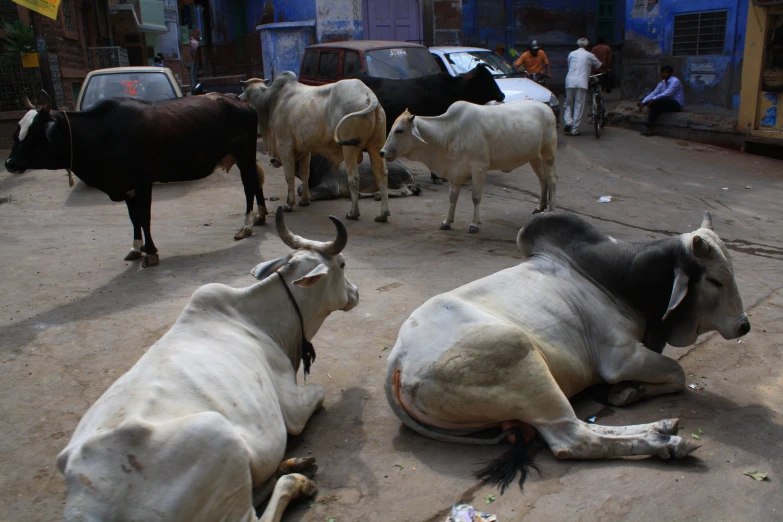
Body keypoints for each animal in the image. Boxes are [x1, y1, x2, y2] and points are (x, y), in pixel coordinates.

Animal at [56, 208, 360, 520]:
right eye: (343, 264)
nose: (356, 292)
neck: (263, 319)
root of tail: (88, 503)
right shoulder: (293, 409)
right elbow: (319, 393)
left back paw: (293, 465)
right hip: (220, 442)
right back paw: (297, 480)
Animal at [237, 71, 388, 221]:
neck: (270, 102)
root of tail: (367, 93)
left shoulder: (284, 145)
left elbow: (289, 175)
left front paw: (289, 204)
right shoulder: (304, 149)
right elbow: (305, 173)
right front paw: (305, 200)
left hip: (349, 147)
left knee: (354, 177)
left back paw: (353, 213)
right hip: (376, 146)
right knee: (381, 174)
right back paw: (382, 214)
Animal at [380, 100, 556, 231]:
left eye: (400, 130)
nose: (382, 152)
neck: (449, 133)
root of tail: (546, 107)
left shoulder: (478, 169)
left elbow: (476, 197)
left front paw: (474, 224)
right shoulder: (455, 172)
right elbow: (452, 197)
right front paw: (447, 221)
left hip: (548, 154)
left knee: (552, 180)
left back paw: (551, 211)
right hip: (534, 157)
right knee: (542, 180)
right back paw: (540, 207)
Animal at [388, 209, 752, 490]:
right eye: (715, 280)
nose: (744, 326)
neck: (623, 282)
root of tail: (399, 359)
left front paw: (630, 392)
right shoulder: (620, 359)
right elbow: (678, 372)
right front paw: (631, 391)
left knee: (574, 426)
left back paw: (659, 427)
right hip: (523, 363)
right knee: (572, 438)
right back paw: (665, 442)